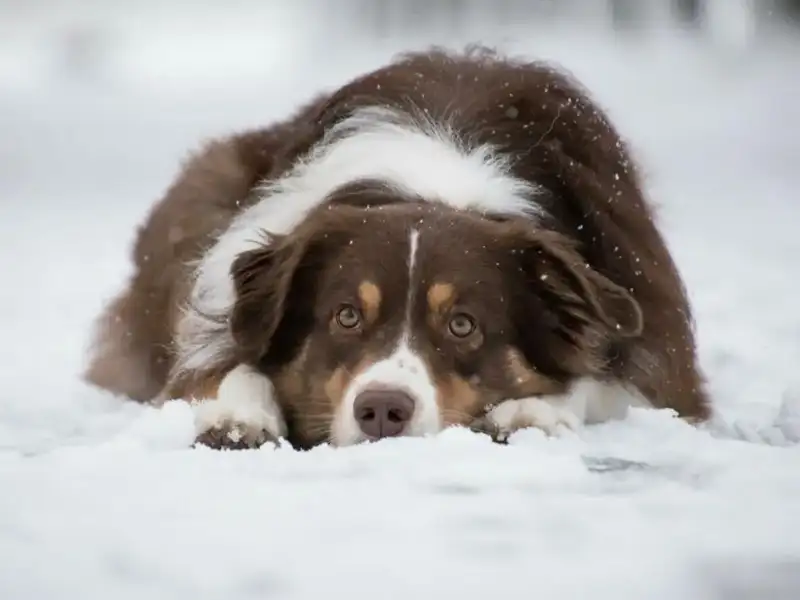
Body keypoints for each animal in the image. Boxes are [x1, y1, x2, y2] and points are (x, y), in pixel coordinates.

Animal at [86, 48, 712, 450]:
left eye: (462, 325)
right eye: (345, 315)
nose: (383, 410)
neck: (437, 184)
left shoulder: (657, 349)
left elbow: (600, 379)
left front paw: (532, 409)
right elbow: (227, 365)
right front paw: (239, 415)